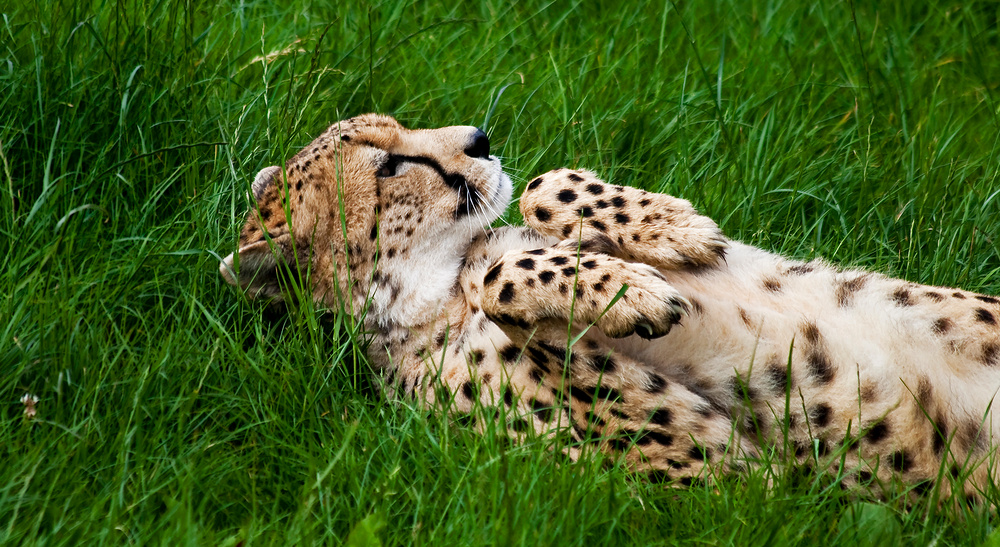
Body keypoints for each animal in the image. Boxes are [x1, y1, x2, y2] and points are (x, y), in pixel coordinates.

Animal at [223, 113, 1000, 504]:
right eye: (388, 165)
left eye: (401, 126)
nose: (479, 139)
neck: (439, 281)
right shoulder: (732, 482)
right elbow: (506, 276)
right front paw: (635, 292)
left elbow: (543, 184)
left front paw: (673, 229)